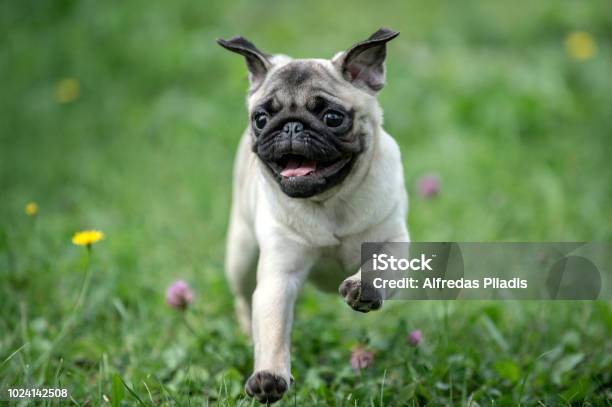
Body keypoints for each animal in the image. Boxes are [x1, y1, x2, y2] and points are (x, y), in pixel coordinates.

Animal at [218, 28, 408, 404]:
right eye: (261, 119)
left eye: (332, 117)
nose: (290, 127)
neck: (330, 202)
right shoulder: (279, 277)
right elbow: (273, 328)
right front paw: (269, 376)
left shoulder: (394, 241)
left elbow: (379, 268)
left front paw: (362, 287)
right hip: (241, 255)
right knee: (245, 300)